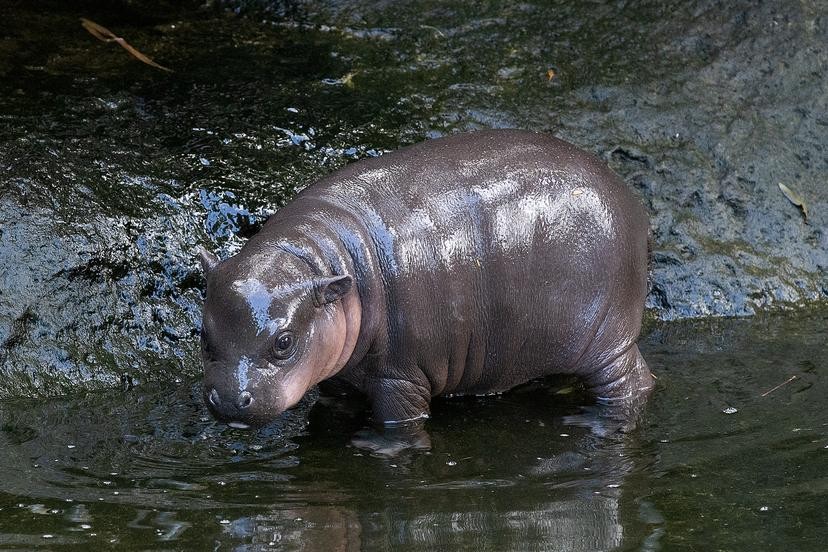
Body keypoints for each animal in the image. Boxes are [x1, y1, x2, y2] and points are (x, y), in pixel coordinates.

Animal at [199, 129, 652, 444]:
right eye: (203, 335)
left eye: (284, 342)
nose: (230, 399)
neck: (319, 258)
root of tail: (628, 196)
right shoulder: (341, 374)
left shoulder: (401, 375)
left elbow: (398, 421)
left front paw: (379, 446)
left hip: (606, 339)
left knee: (630, 382)